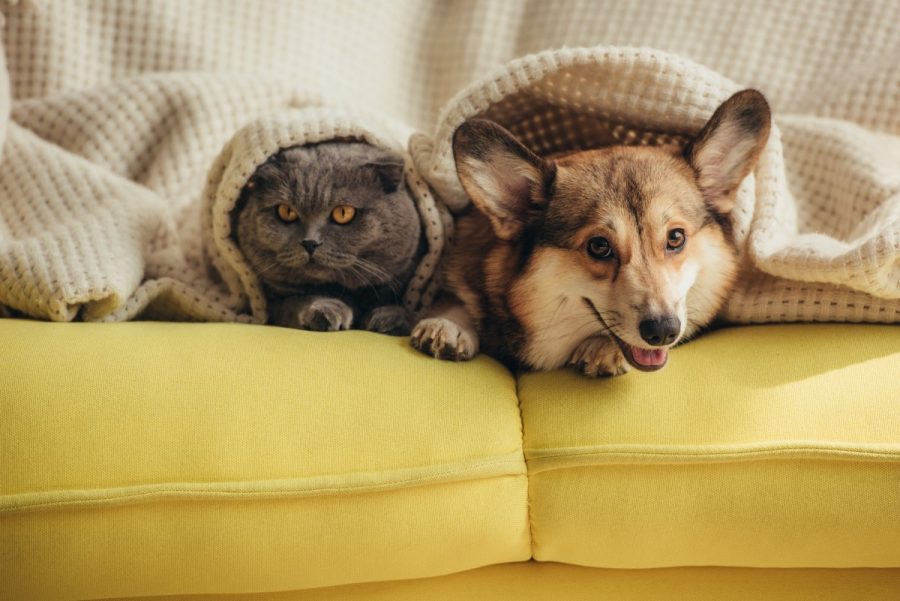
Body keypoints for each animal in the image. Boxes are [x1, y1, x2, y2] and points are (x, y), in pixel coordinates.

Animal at [236, 142, 426, 336]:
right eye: (286, 211)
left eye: (343, 213)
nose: (310, 243)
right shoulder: (275, 303)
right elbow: (296, 301)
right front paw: (325, 311)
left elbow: (413, 312)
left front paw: (390, 318)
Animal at [412, 89, 768, 376]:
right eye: (599, 246)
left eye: (676, 238)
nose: (664, 331)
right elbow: (456, 298)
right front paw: (447, 324)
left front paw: (602, 348)